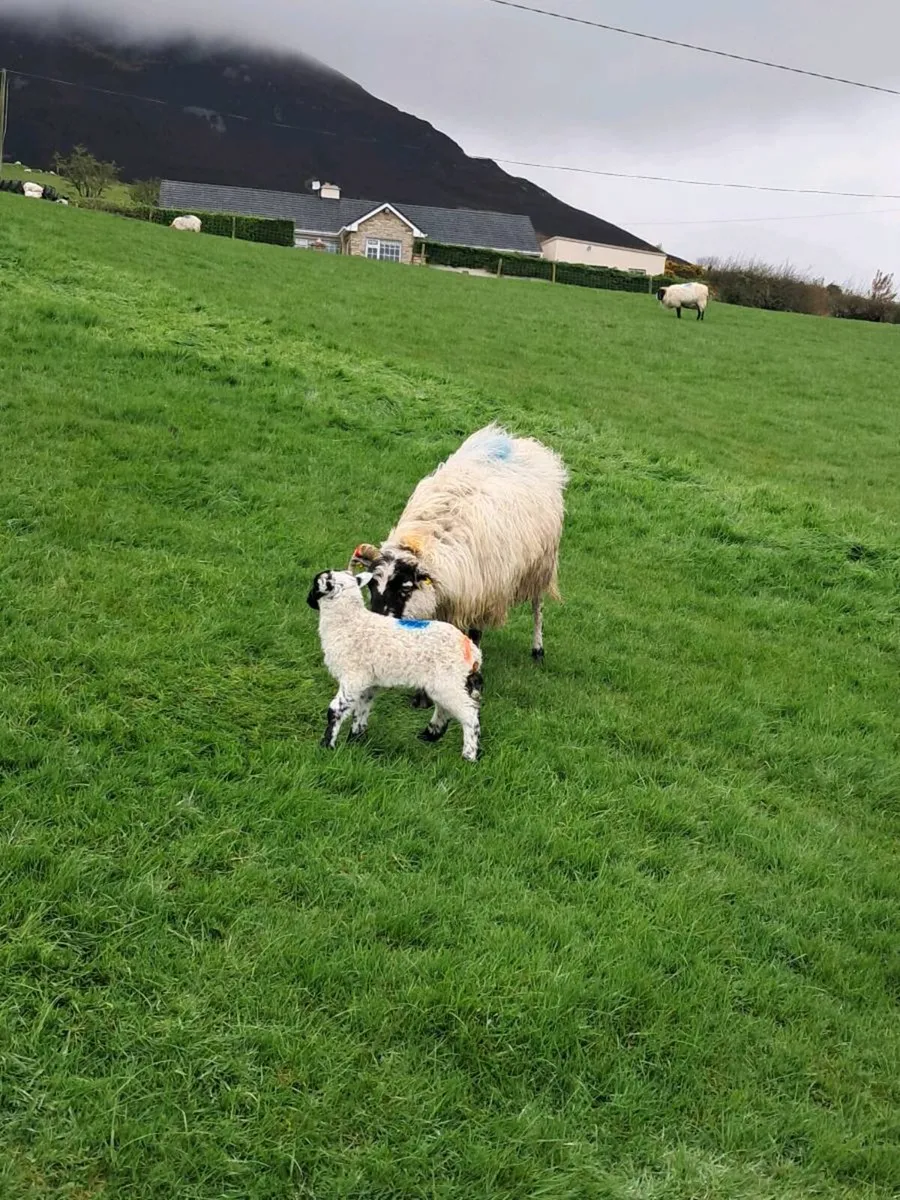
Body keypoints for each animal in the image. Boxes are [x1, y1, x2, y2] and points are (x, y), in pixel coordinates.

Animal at [307, 569, 484, 760]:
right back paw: (430, 735)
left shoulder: (353, 677)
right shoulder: (368, 682)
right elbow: (361, 711)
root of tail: (470, 649)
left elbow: (335, 711)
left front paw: (326, 745)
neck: (349, 623)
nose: (308, 601)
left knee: (469, 714)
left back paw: (468, 755)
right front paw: (356, 740)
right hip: (445, 683)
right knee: (445, 709)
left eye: (315, 585)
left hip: (448, 680)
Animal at [351, 424, 568, 696]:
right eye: (371, 586)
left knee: (537, 606)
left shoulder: (484, 593)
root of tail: (522, 442)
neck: (423, 541)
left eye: (405, 589)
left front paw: (475, 680)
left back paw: (537, 649)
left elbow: (476, 634)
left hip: (541, 564)